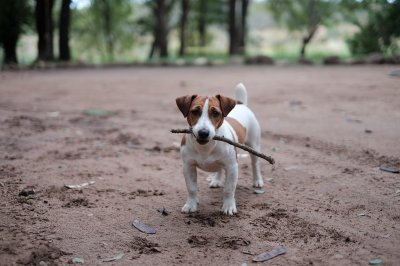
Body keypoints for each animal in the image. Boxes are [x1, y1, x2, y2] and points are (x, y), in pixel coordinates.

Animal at [174, 83, 262, 216]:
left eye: (215, 113)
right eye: (195, 111)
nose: (203, 133)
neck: (206, 147)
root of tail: (241, 104)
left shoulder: (232, 167)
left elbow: (229, 189)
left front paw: (228, 206)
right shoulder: (188, 166)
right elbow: (192, 188)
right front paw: (191, 205)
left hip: (253, 145)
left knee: (255, 163)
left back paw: (257, 180)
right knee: (219, 168)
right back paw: (216, 180)